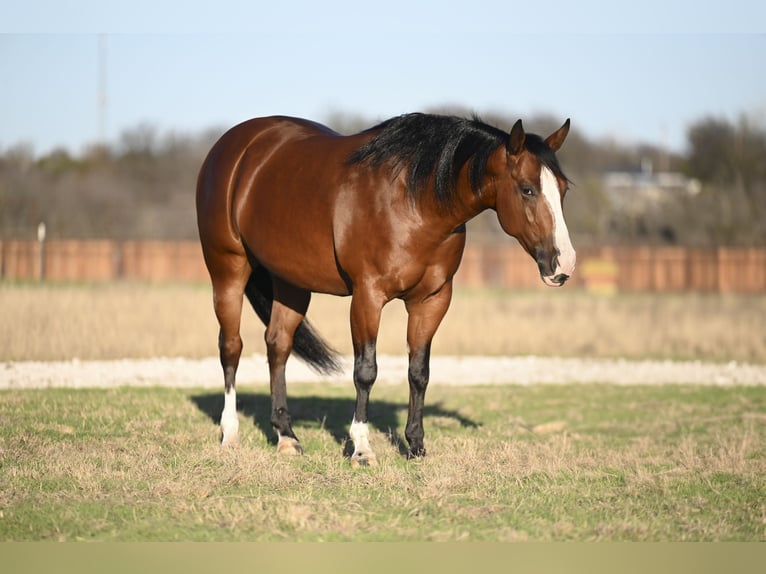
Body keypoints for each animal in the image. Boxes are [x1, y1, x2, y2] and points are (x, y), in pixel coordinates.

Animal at [198, 112, 576, 468]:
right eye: (527, 189)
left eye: (563, 190)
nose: (564, 265)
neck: (416, 201)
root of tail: (236, 145)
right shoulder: (368, 296)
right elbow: (366, 371)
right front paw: (362, 449)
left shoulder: (432, 301)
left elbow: (419, 372)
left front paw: (416, 446)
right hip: (229, 270)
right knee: (231, 348)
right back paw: (230, 435)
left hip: (291, 282)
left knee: (278, 345)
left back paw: (287, 437)